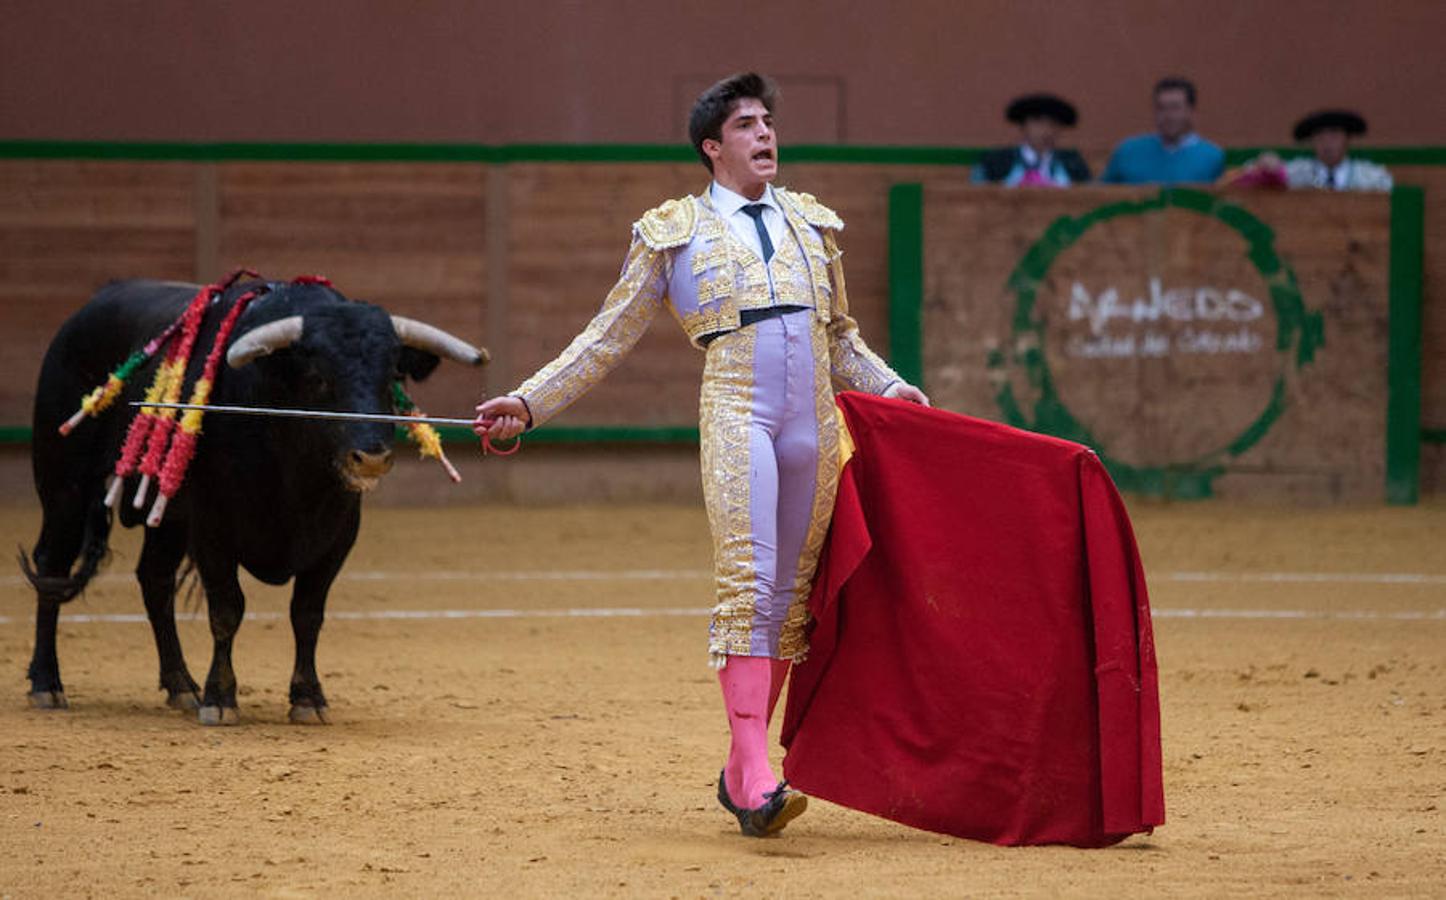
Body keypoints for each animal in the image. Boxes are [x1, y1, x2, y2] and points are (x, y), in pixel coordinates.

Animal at [22, 280, 485, 726]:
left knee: (154, 579)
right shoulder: (212, 529)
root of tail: (86, 310)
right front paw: (220, 699)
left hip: (168, 519)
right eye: (319, 377)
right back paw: (47, 684)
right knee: (52, 565)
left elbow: (307, 613)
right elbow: (228, 609)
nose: (371, 457)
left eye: (394, 376)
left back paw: (180, 685)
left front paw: (308, 698)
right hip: (64, 486)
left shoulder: (338, 534)